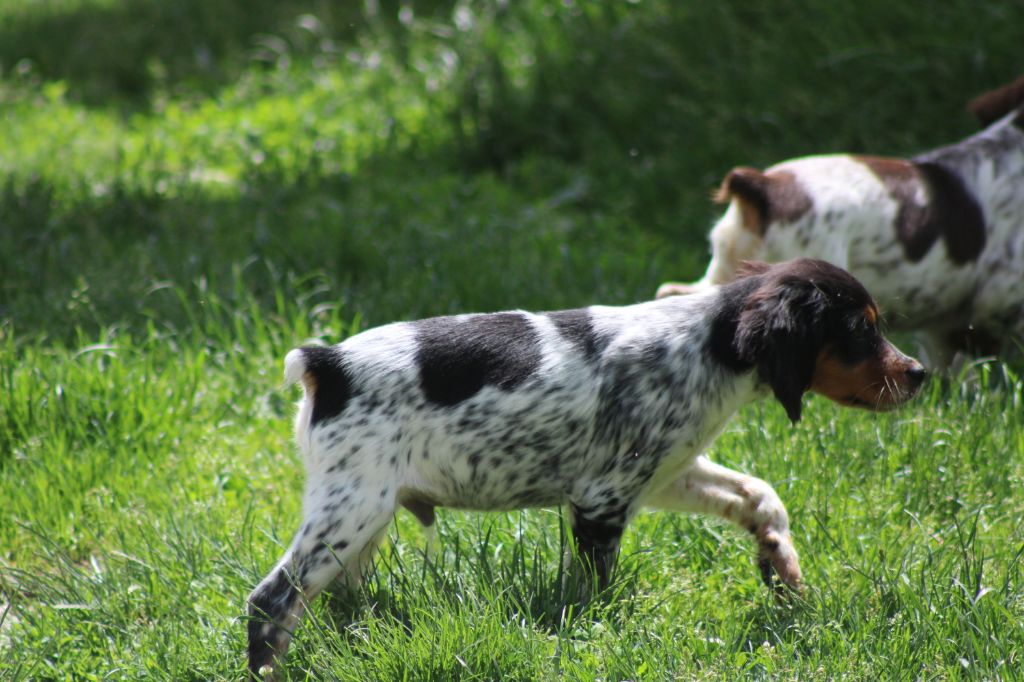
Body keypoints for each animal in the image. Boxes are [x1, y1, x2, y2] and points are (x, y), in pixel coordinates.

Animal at [249, 256, 929, 675]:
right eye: (860, 330)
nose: (920, 373)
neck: (707, 345)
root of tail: (327, 362)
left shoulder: (668, 472)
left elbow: (759, 494)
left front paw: (782, 567)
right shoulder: (604, 498)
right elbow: (599, 594)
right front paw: (607, 637)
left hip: (364, 516)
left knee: (333, 601)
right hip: (352, 510)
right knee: (271, 600)